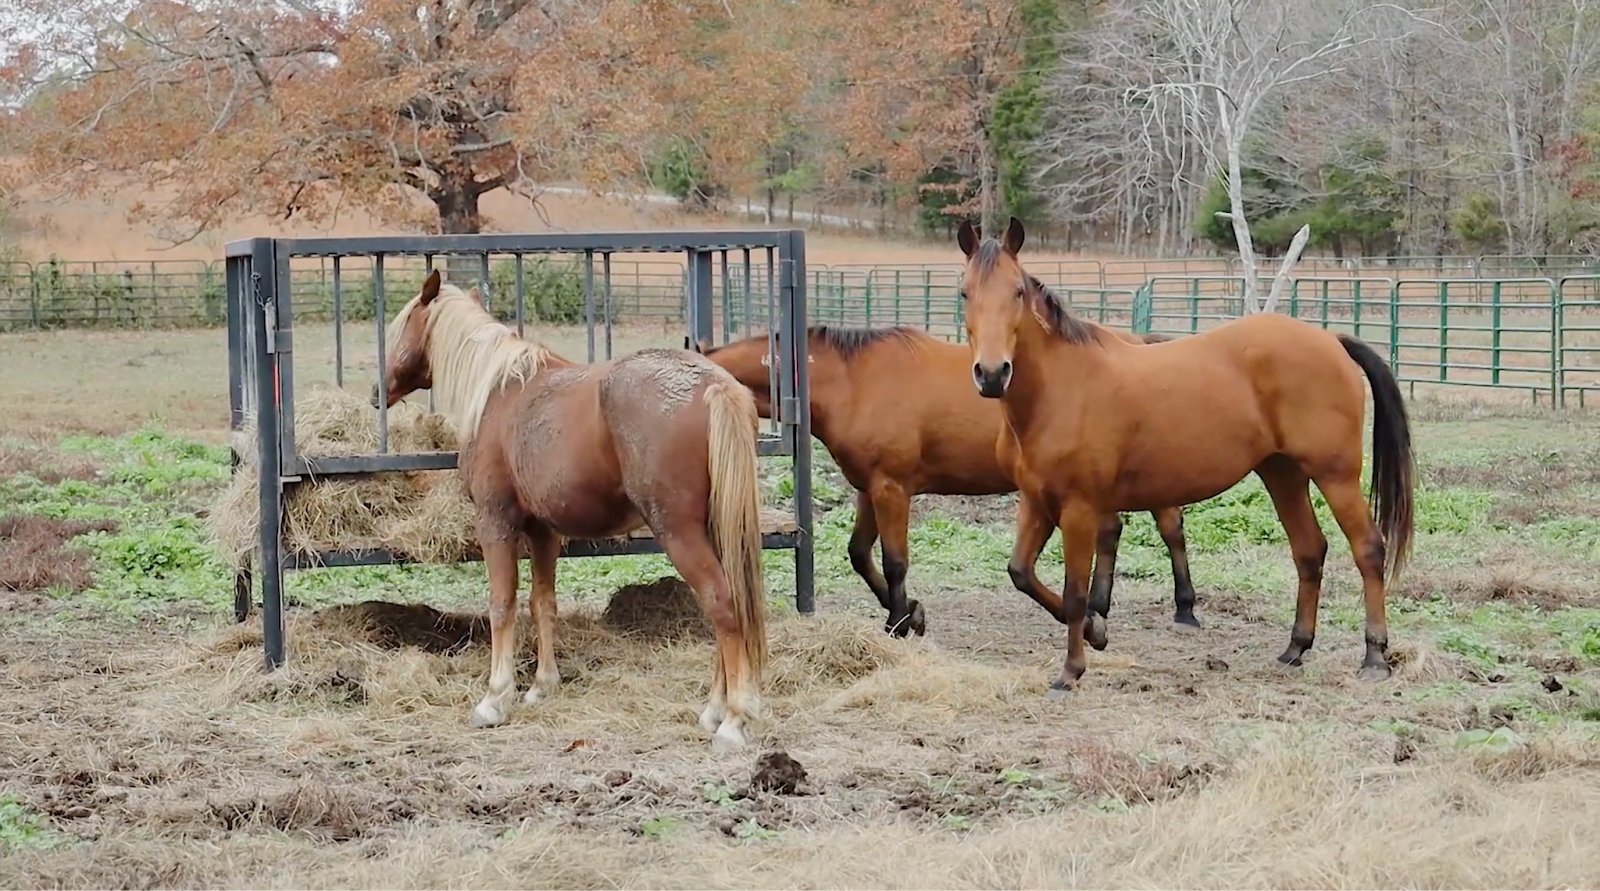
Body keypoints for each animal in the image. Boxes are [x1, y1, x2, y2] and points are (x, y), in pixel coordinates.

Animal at [375, 269, 768, 751]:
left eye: (401, 328)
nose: (377, 391)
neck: (499, 393)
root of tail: (716, 386)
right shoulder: (543, 531)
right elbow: (542, 602)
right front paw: (542, 685)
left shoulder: (495, 522)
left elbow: (502, 603)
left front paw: (494, 698)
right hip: (714, 529)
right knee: (728, 605)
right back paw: (715, 710)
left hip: (680, 532)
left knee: (721, 604)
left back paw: (733, 720)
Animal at [690, 326, 1201, 645]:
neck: (852, 381)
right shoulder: (868, 488)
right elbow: (859, 554)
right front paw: (910, 613)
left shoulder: (892, 488)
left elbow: (894, 562)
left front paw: (898, 620)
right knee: (1113, 531)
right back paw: (1099, 608)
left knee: (1168, 527)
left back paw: (1182, 607)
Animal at [957, 217, 1415, 697]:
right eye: (965, 293)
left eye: (1017, 292)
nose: (992, 373)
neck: (1060, 389)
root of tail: (1331, 340)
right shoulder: (1036, 502)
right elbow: (1021, 572)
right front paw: (1096, 631)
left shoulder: (1079, 509)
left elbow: (1075, 591)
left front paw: (1071, 670)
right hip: (1282, 474)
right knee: (1309, 550)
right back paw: (1295, 648)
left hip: (1335, 476)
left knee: (1367, 549)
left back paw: (1375, 656)